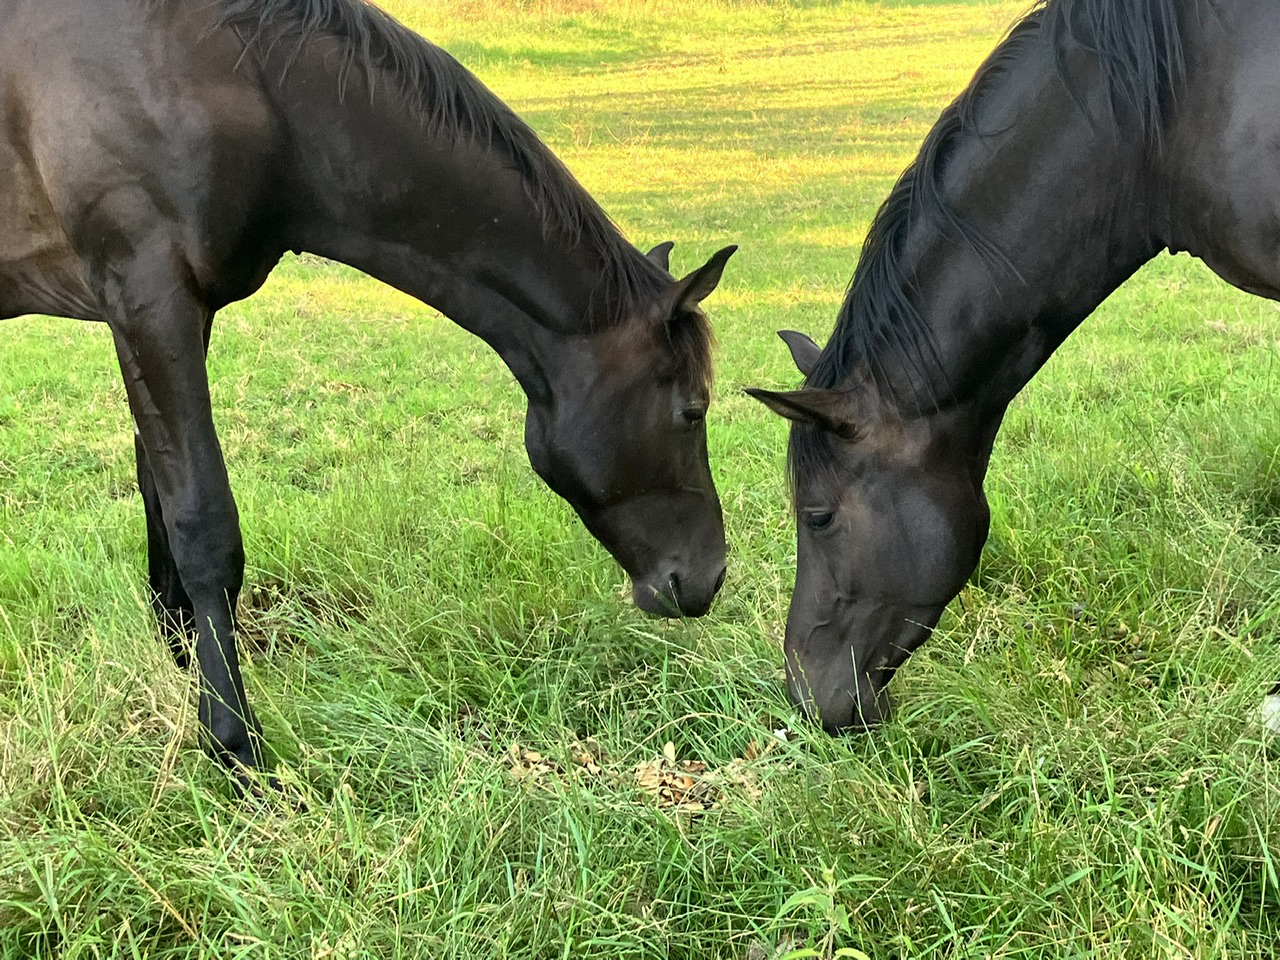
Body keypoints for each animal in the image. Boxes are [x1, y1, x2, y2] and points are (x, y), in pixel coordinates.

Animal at [0, 0, 737, 783]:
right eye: (692, 411)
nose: (709, 577)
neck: (237, 79)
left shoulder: (172, 316)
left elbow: (161, 500)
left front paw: (184, 667)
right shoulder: (150, 300)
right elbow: (203, 524)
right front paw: (233, 745)